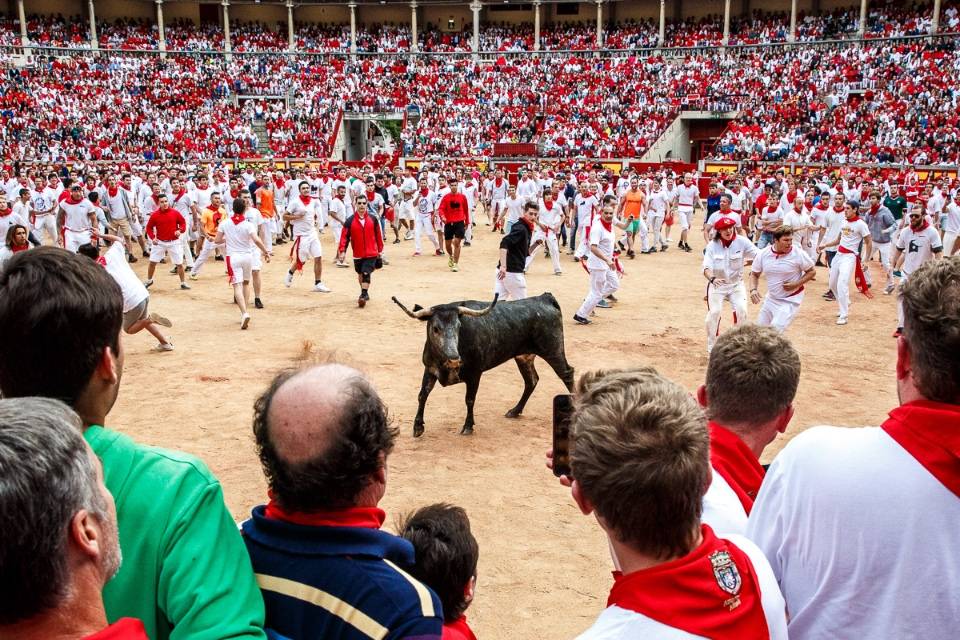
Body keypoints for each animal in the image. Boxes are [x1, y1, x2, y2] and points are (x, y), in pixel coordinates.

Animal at [388, 292, 572, 438]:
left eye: (458, 326)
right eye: (435, 328)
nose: (454, 359)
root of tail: (544, 298)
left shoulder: (475, 373)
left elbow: (469, 399)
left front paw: (468, 426)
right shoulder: (430, 369)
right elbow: (422, 395)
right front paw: (418, 427)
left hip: (553, 351)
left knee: (567, 374)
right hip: (523, 356)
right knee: (531, 380)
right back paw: (514, 411)